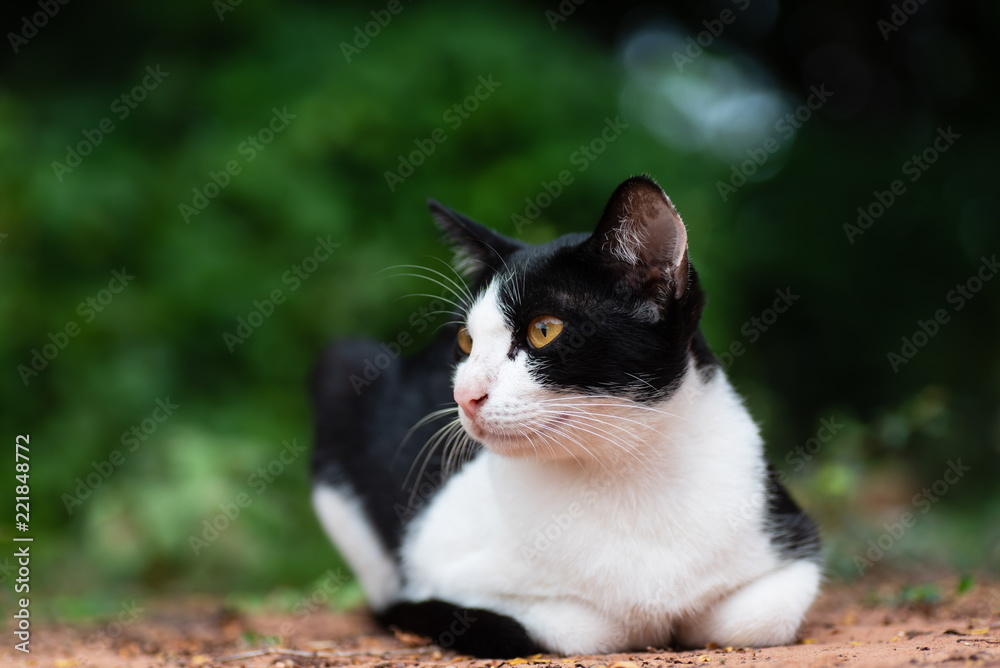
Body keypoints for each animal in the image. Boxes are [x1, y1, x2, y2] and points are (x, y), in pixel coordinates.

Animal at [310, 175, 820, 660]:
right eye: (466, 342)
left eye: (543, 330)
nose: (463, 394)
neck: (623, 475)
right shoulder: (433, 560)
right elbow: (578, 623)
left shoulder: (795, 545)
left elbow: (760, 617)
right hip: (341, 365)